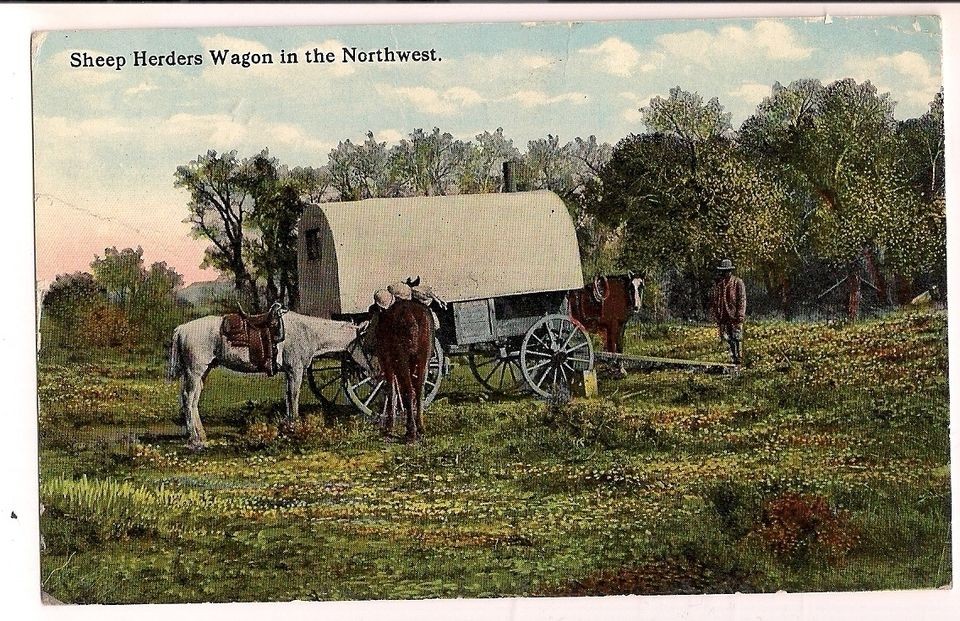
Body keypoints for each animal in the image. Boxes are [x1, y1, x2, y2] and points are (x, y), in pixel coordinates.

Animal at [167, 308, 370, 446]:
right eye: (363, 341)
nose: (368, 368)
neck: (307, 332)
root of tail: (182, 329)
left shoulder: (289, 372)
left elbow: (288, 398)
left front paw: (287, 428)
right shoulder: (295, 371)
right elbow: (294, 398)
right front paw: (295, 428)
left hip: (203, 372)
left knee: (194, 401)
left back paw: (201, 434)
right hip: (194, 372)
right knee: (188, 399)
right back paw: (194, 438)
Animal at [376, 296, 436, 438]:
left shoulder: (386, 360)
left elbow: (391, 390)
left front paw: (389, 425)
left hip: (401, 356)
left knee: (408, 390)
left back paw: (411, 430)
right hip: (424, 355)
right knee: (419, 389)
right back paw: (420, 426)